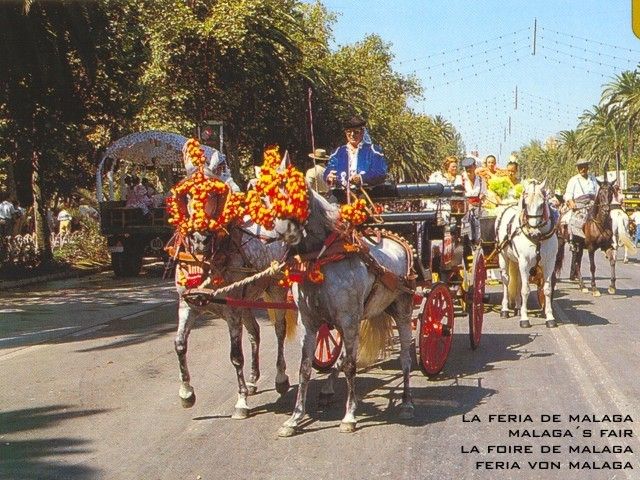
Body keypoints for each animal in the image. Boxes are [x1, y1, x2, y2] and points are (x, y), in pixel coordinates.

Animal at [274, 189, 416, 436]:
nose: (284, 231)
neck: (322, 260)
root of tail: (395, 239)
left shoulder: (349, 320)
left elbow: (350, 366)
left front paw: (349, 416)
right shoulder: (309, 323)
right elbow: (305, 368)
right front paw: (295, 418)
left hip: (403, 311)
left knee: (405, 358)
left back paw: (407, 402)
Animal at [492, 178, 556, 328]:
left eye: (542, 204)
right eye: (525, 204)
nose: (534, 232)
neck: (538, 239)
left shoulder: (549, 263)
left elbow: (547, 289)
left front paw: (550, 318)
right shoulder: (525, 262)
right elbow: (525, 290)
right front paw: (524, 319)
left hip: (516, 262)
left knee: (518, 281)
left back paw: (518, 306)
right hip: (503, 257)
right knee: (506, 280)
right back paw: (505, 309)